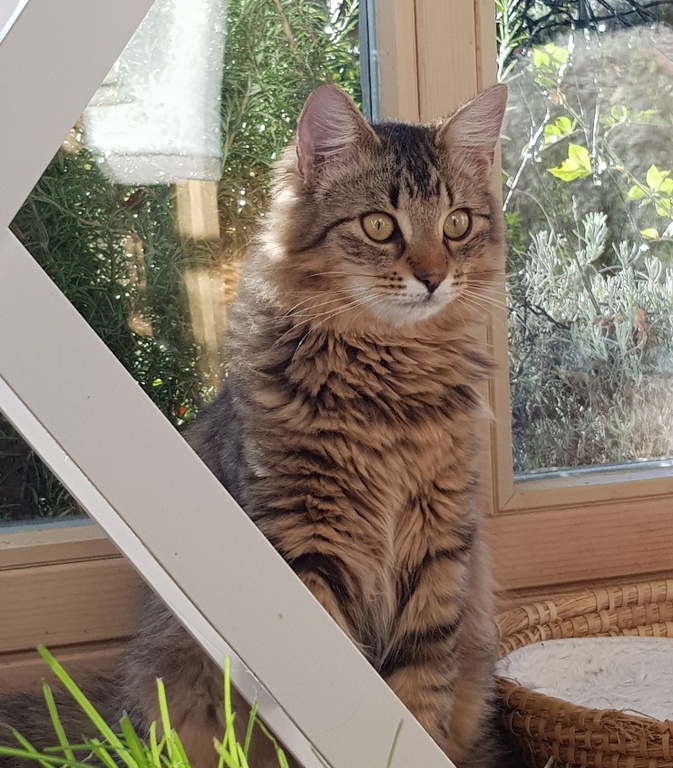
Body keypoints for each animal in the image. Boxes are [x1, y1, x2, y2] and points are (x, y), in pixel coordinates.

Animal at [0, 82, 508, 768]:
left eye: (457, 224)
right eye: (379, 225)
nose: (433, 277)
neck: (389, 389)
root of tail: (122, 706)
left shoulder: (440, 546)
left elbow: (420, 692)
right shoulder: (308, 543)